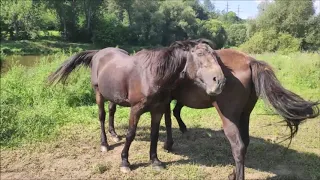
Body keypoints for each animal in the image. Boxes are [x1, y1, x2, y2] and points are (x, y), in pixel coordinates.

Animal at [47, 39, 225, 173]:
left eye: (215, 55)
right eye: (200, 54)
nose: (220, 81)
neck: (152, 75)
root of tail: (98, 53)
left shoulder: (158, 110)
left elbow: (154, 134)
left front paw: (155, 160)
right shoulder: (136, 110)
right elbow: (130, 134)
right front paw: (125, 162)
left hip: (113, 95)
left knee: (111, 111)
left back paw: (114, 134)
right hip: (99, 93)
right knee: (102, 116)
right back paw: (104, 144)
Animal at [107, 48, 318, 179]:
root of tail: (250, 61)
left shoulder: (166, 100)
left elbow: (169, 117)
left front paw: (169, 143)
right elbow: (172, 114)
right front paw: (171, 140)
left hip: (229, 117)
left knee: (238, 146)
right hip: (244, 115)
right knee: (245, 143)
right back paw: (233, 173)